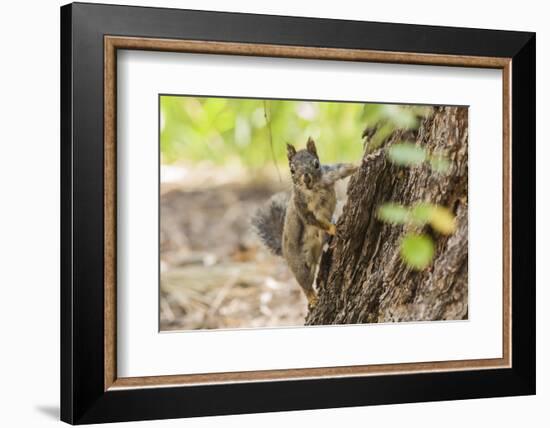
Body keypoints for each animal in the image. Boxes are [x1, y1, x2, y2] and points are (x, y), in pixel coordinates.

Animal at [252, 138, 360, 308]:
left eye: (316, 163)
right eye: (292, 170)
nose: (306, 178)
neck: (314, 189)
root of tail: (284, 252)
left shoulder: (329, 173)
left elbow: (344, 168)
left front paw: (364, 161)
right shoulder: (301, 206)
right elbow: (313, 220)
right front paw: (333, 228)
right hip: (298, 264)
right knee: (304, 283)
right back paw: (312, 298)